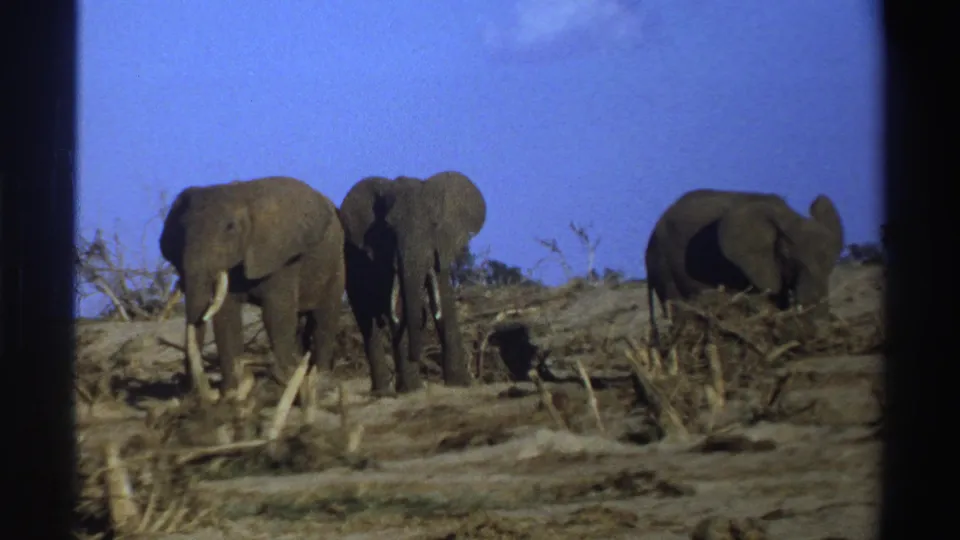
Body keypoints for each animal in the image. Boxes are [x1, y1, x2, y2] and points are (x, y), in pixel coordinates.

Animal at [159, 176, 346, 404]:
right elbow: (226, 317)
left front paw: (282, 384)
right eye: (181, 230)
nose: (186, 389)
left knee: (325, 317)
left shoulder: (282, 256)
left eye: (230, 227)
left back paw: (321, 383)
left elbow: (276, 313)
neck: (241, 196)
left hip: (336, 261)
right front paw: (231, 392)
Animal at [339, 171, 486, 395]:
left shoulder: (439, 248)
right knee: (366, 323)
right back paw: (384, 392)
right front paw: (412, 389)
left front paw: (460, 383)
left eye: (434, 225)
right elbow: (396, 306)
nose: (417, 358)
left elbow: (444, 299)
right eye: (389, 230)